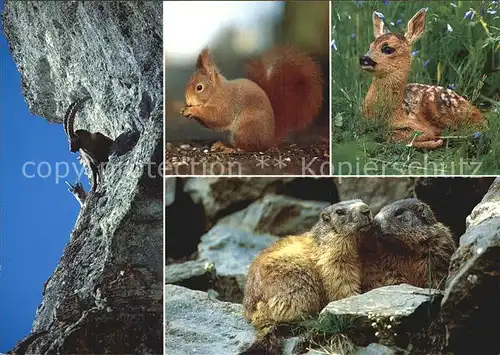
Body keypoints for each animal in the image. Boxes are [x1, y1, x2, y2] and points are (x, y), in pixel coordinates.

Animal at [181, 46, 324, 153]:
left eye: (199, 87)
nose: (188, 102)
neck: (216, 92)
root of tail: (269, 139)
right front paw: (185, 109)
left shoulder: (227, 104)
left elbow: (217, 117)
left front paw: (194, 110)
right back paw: (222, 144)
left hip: (246, 129)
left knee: (245, 147)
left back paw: (229, 149)